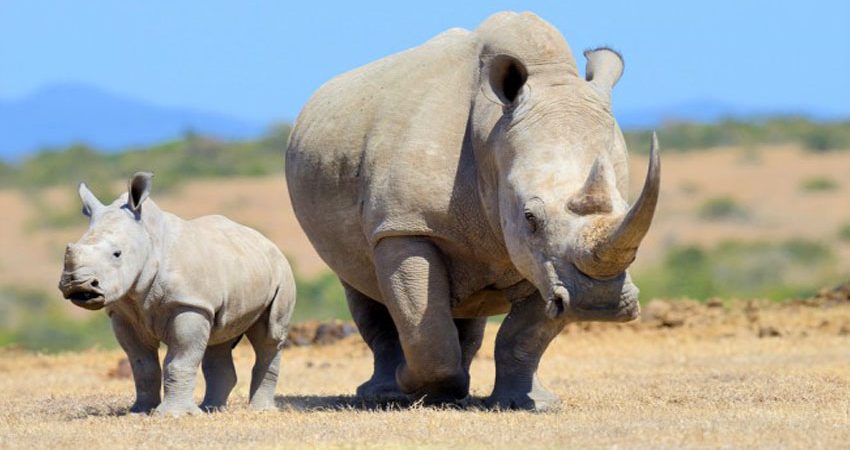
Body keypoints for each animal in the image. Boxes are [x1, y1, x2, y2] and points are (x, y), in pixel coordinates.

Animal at [58, 172, 296, 415]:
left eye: (117, 254)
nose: (79, 286)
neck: (149, 240)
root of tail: (266, 241)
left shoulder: (189, 304)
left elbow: (179, 360)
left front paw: (172, 414)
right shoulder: (123, 313)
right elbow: (142, 365)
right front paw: (140, 411)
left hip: (281, 272)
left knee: (270, 335)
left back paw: (260, 411)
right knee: (219, 337)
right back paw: (211, 409)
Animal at [286, 11, 660, 410]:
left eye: (627, 210)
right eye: (530, 218)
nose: (598, 303)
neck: (491, 131)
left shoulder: (549, 264)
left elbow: (524, 335)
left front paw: (528, 403)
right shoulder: (404, 224)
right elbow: (424, 328)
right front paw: (414, 386)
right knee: (360, 284)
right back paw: (387, 393)